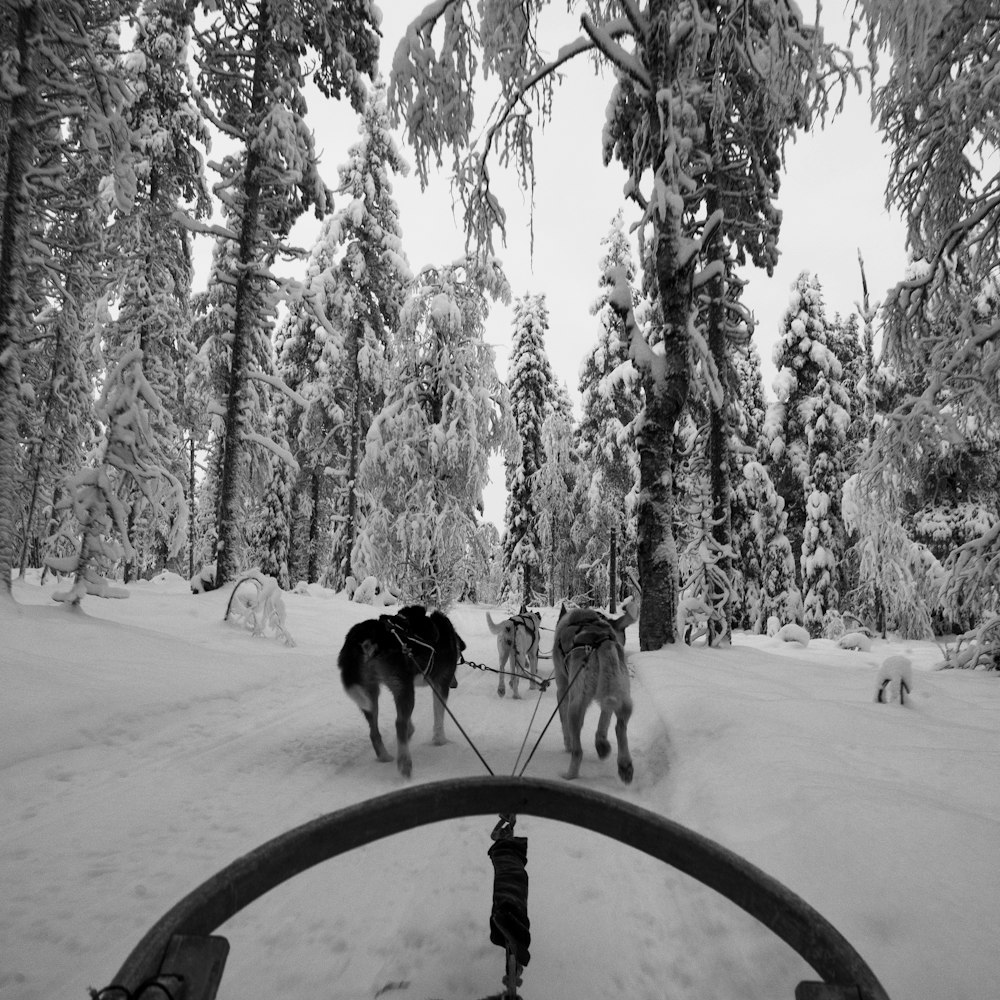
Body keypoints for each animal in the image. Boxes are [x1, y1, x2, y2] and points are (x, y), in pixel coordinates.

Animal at [338, 604, 466, 776]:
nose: (455, 684)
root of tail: (365, 634)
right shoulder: (441, 685)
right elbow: (439, 717)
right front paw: (440, 740)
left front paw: (411, 730)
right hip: (404, 688)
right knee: (399, 724)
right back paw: (405, 763)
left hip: (371, 693)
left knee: (374, 731)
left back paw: (384, 756)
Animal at [552, 596, 636, 784]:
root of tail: (601, 642)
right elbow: (603, 723)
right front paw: (602, 745)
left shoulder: (563, 690)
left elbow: (564, 724)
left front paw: (568, 744)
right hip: (622, 696)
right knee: (620, 727)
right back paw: (624, 765)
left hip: (576, 705)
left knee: (578, 752)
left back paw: (569, 775)